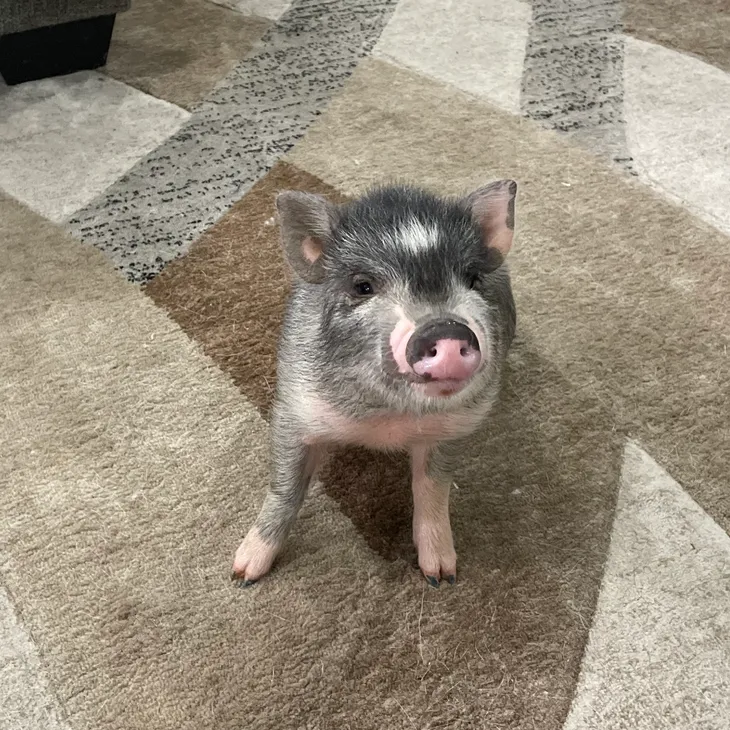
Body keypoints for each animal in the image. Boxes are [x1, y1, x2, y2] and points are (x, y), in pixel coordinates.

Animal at [232, 180, 517, 587]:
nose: (445, 328)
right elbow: (286, 488)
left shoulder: (455, 426)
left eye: (473, 279)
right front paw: (243, 574)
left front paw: (441, 577)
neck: (386, 421)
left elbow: (432, 488)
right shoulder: (293, 409)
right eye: (362, 286)